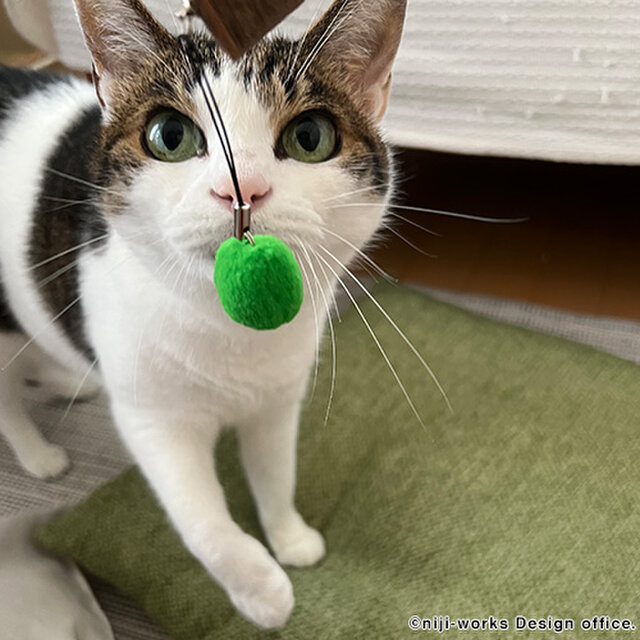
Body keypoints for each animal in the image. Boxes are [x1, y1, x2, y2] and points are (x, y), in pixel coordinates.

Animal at [0, 0, 404, 632]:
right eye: (171, 136)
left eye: (310, 137)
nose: (243, 191)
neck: (228, 325)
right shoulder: (155, 420)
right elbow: (204, 524)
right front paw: (262, 591)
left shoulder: (277, 400)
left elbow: (276, 474)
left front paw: (290, 537)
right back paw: (38, 454)